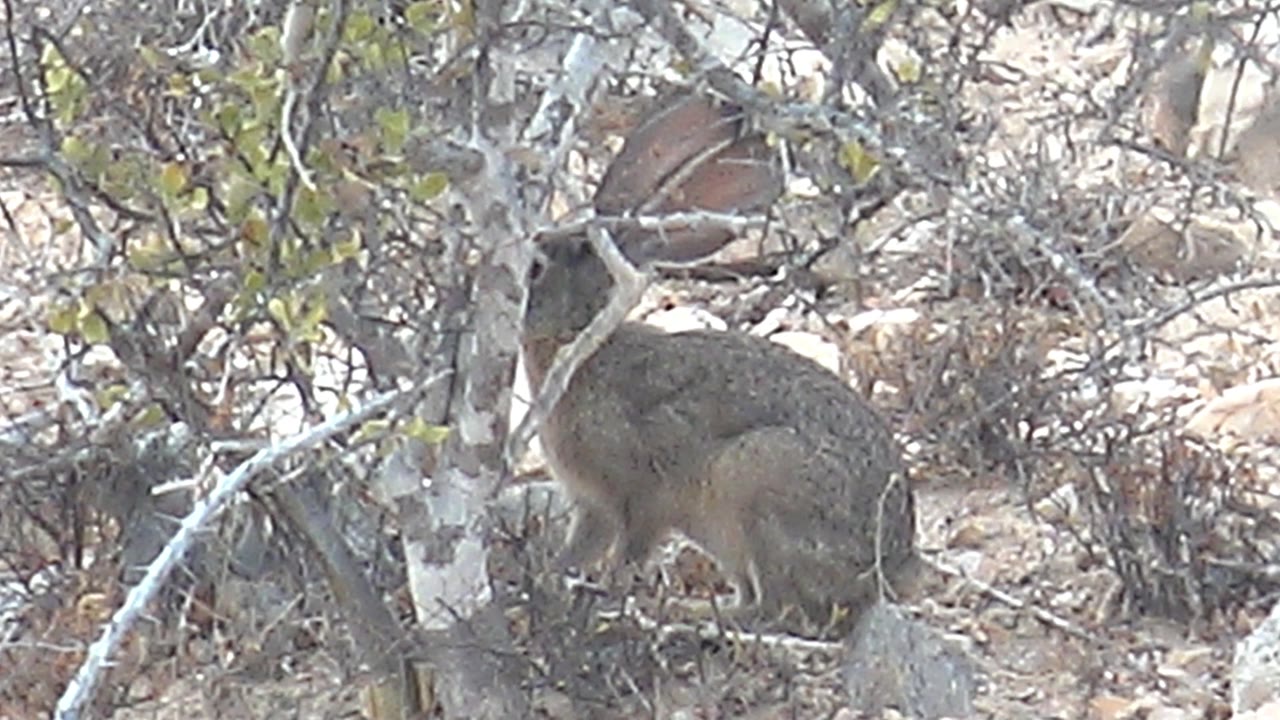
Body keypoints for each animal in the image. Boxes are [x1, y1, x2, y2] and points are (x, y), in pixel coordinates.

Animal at [522, 93, 917, 637]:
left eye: (537, 269)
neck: (580, 341)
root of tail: (887, 574)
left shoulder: (638, 496)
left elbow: (629, 552)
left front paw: (605, 599)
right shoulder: (592, 507)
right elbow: (579, 551)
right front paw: (550, 585)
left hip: (758, 480)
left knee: (776, 610)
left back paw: (688, 617)